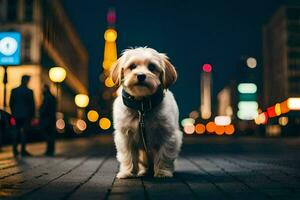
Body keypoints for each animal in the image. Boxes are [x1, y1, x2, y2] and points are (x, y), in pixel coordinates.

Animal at [109, 47, 182, 178]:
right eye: (132, 66)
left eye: (152, 67)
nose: (141, 76)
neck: (142, 107)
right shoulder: (124, 136)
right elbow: (127, 156)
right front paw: (127, 172)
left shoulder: (169, 136)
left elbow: (164, 154)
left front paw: (163, 172)